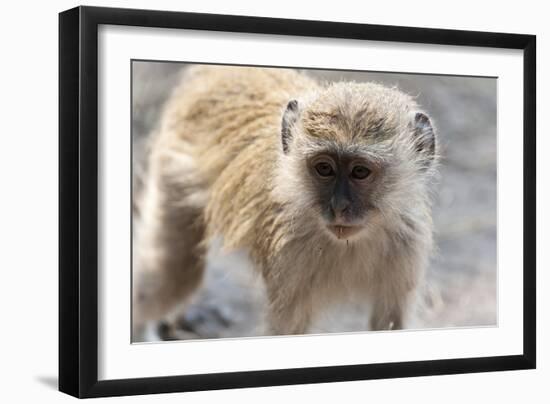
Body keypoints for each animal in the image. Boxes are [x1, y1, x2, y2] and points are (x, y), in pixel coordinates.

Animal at [134, 66, 440, 336]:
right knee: (172, 278)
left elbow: (391, 321)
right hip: (174, 171)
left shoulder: (408, 242)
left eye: (360, 172)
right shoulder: (287, 252)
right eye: (324, 168)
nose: (338, 207)